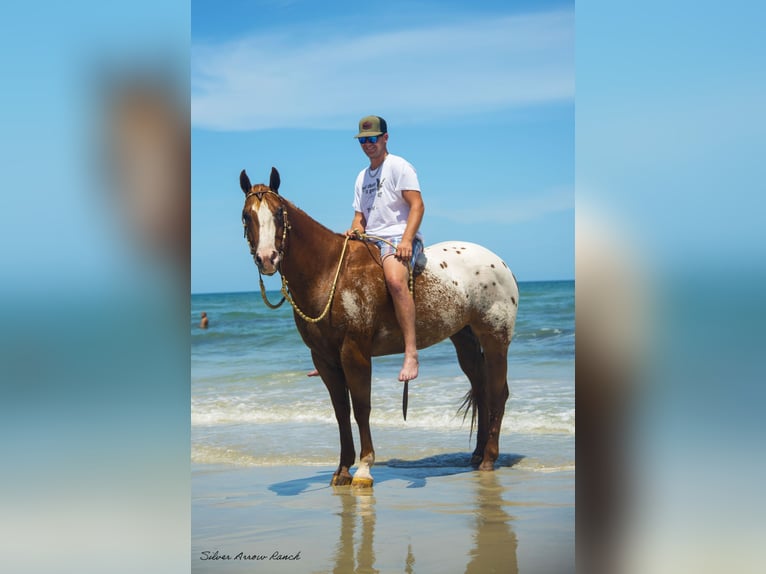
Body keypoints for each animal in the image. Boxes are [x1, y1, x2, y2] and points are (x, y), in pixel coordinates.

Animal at [240, 168, 520, 490]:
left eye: (278, 213)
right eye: (247, 216)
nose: (267, 258)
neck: (329, 273)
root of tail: (499, 263)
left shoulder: (355, 352)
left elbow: (362, 407)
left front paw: (364, 467)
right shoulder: (324, 359)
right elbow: (340, 411)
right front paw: (342, 469)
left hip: (496, 338)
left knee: (498, 391)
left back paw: (489, 458)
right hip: (464, 339)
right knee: (482, 388)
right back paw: (476, 455)